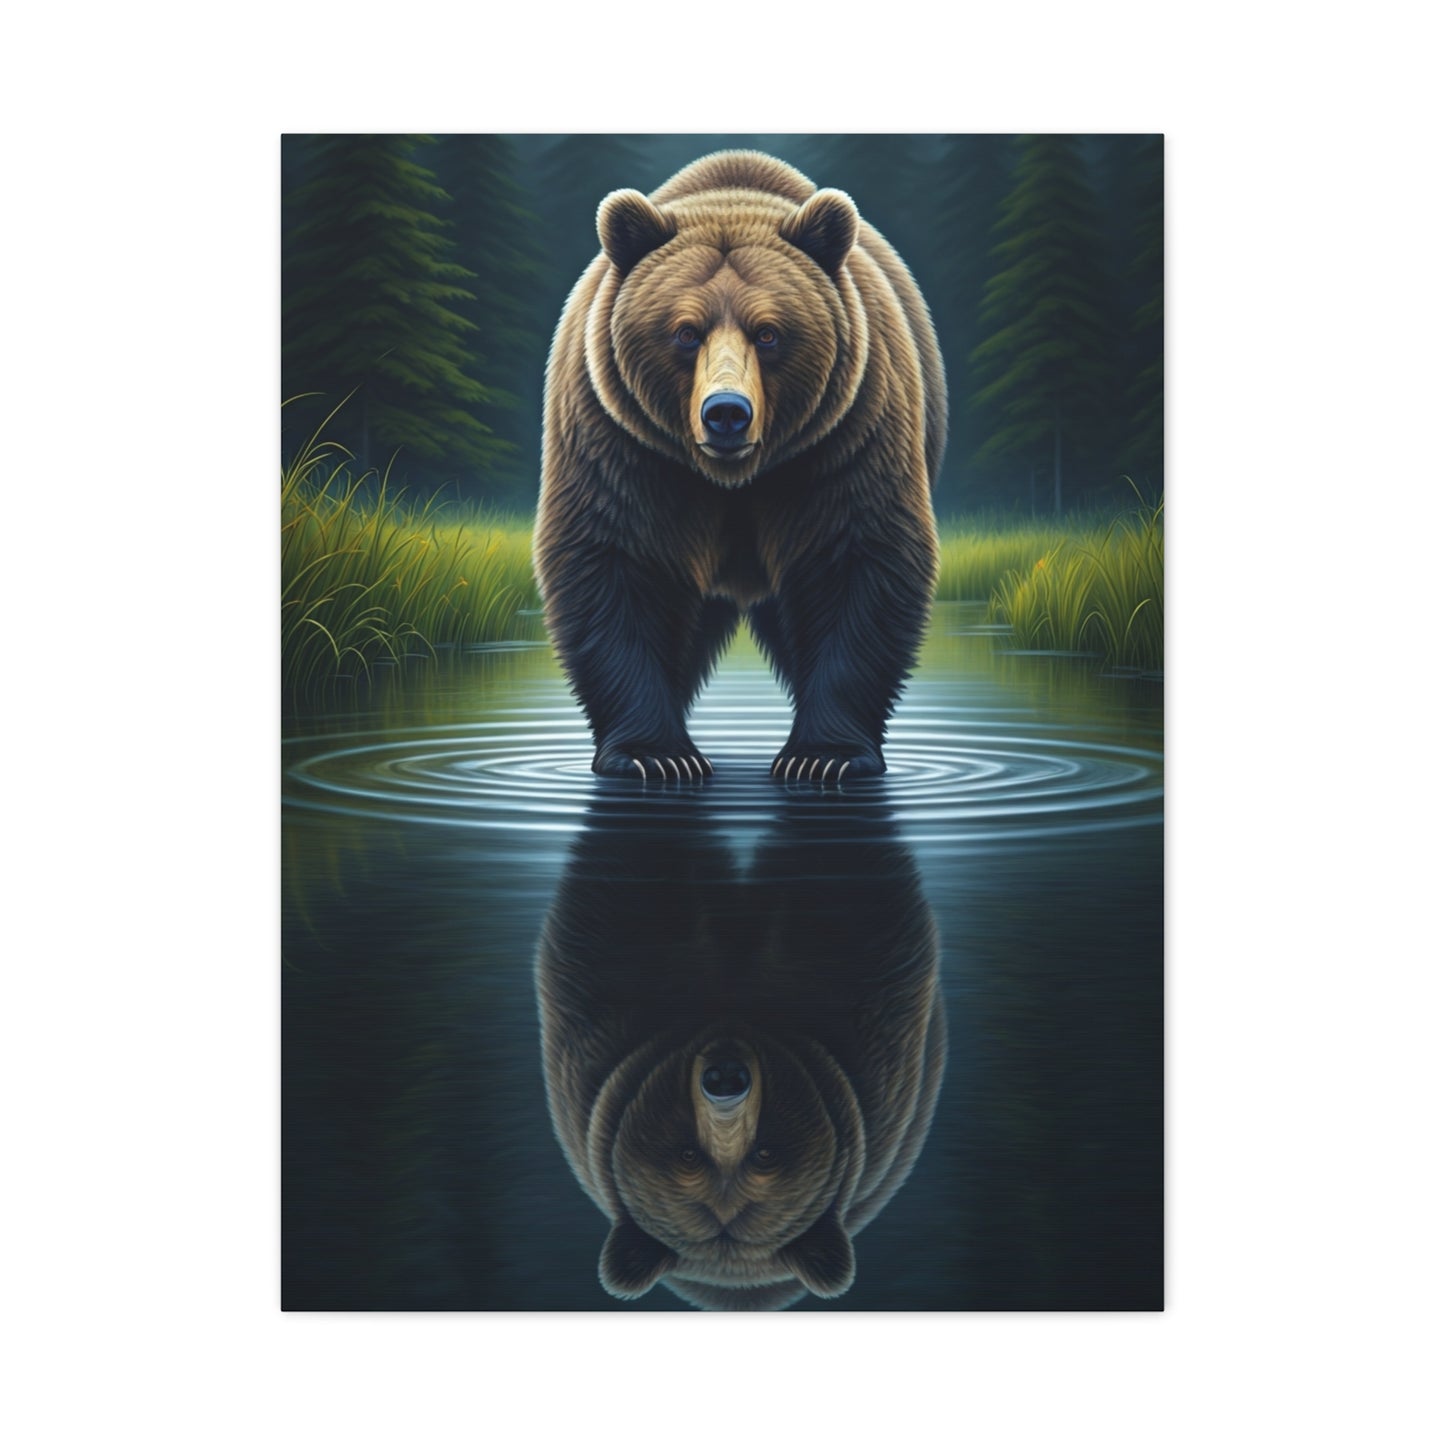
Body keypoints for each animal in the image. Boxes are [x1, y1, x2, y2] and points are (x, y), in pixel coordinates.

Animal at [533, 150, 946, 781]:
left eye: (769, 332)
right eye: (685, 331)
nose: (726, 412)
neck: (733, 479)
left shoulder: (847, 437)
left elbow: (859, 559)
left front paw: (823, 757)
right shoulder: (622, 443)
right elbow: (614, 562)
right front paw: (656, 755)